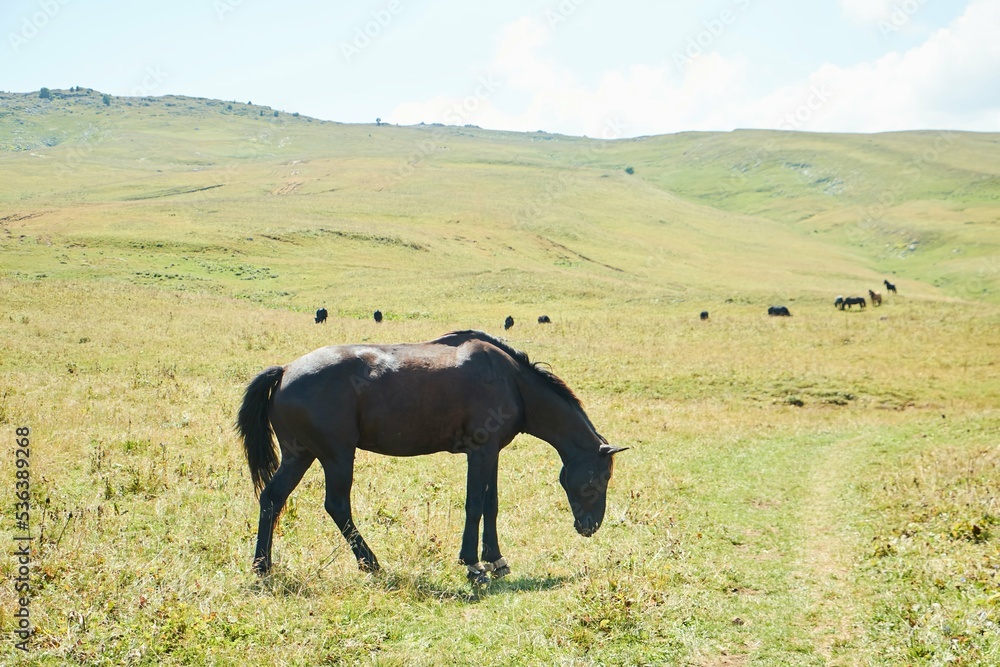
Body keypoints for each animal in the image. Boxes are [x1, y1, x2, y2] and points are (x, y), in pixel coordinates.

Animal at [236, 330, 627, 585]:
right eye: (601, 477)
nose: (590, 526)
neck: (511, 380)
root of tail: (284, 370)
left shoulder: (492, 453)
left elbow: (491, 504)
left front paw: (496, 560)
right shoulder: (480, 452)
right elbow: (474, 504)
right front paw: (473, 565)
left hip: (299, 456)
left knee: (272, 498)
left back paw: (262, 567)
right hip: (337, 457)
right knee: (336, 505)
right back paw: (371, 563)